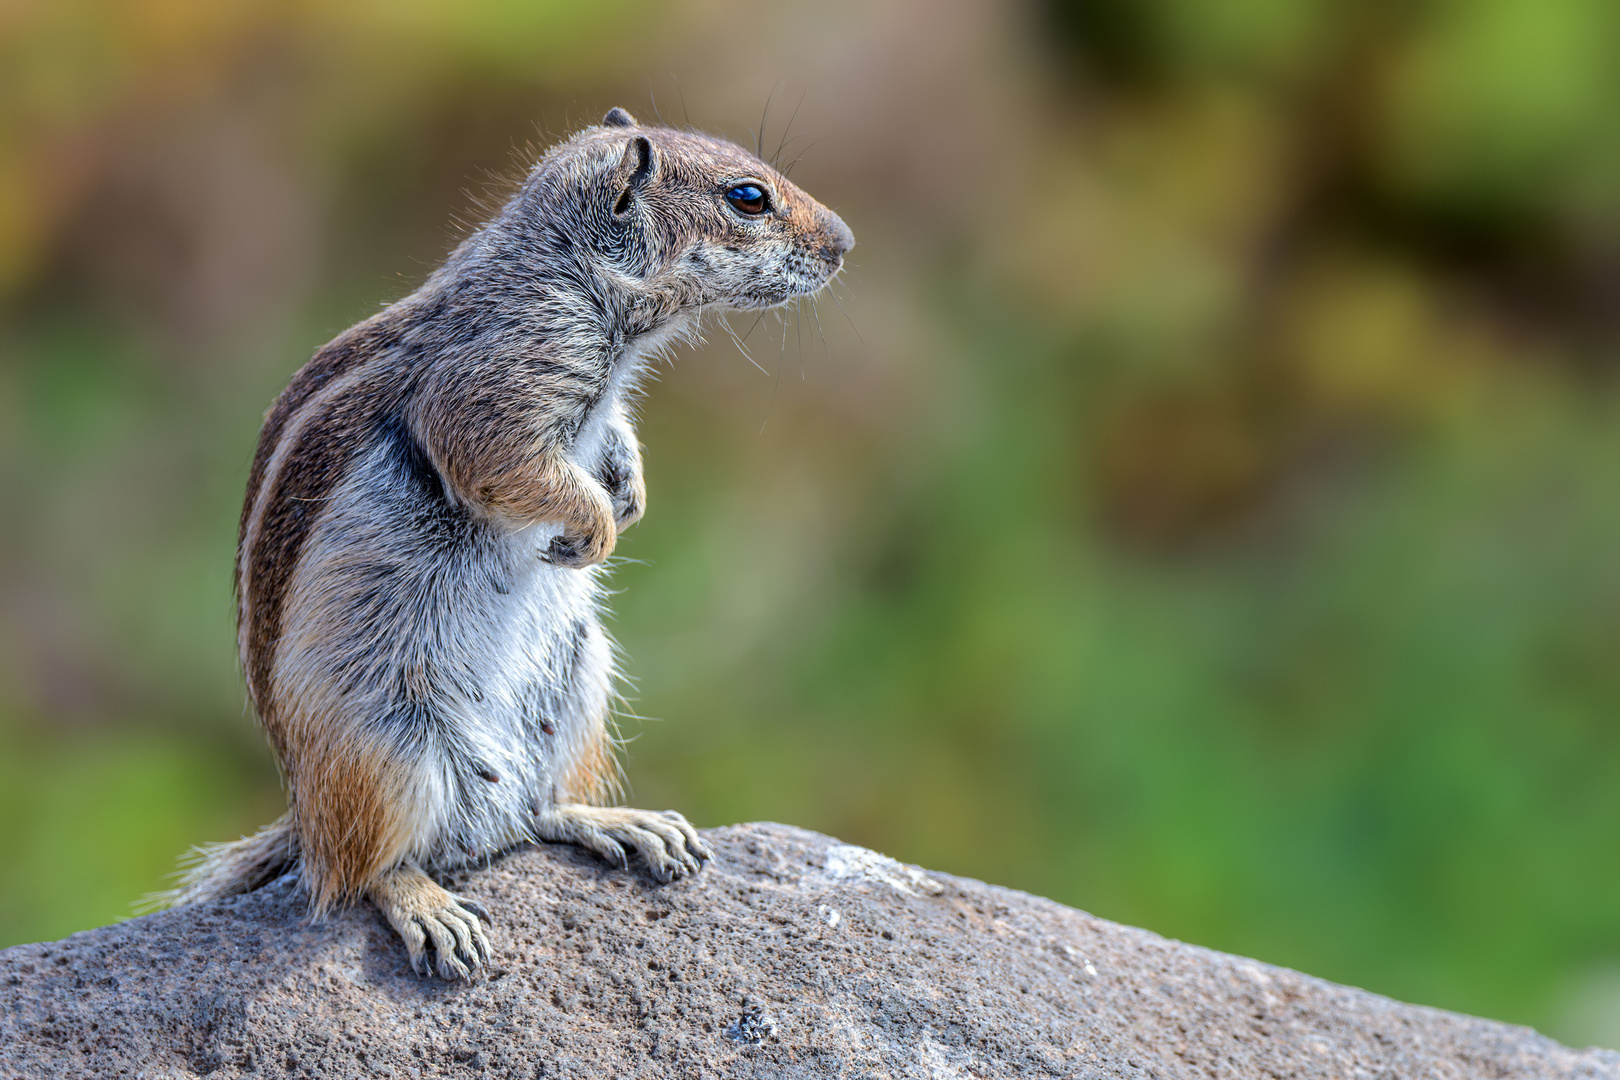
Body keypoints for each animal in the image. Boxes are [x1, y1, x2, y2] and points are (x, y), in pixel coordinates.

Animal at [164, 107, 855, 977]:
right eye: (749, 198)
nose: (847, 242)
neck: (565, 268)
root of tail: (305, 820)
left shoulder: (594, 407)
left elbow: (616, 445)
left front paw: (629, 497)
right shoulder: (500, 386)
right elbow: (508, 465)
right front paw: (593, 529)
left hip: (581, 680)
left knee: (535, 815)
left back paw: (618, 824)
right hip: (385, 751)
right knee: (360, 874)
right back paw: (429, 908)